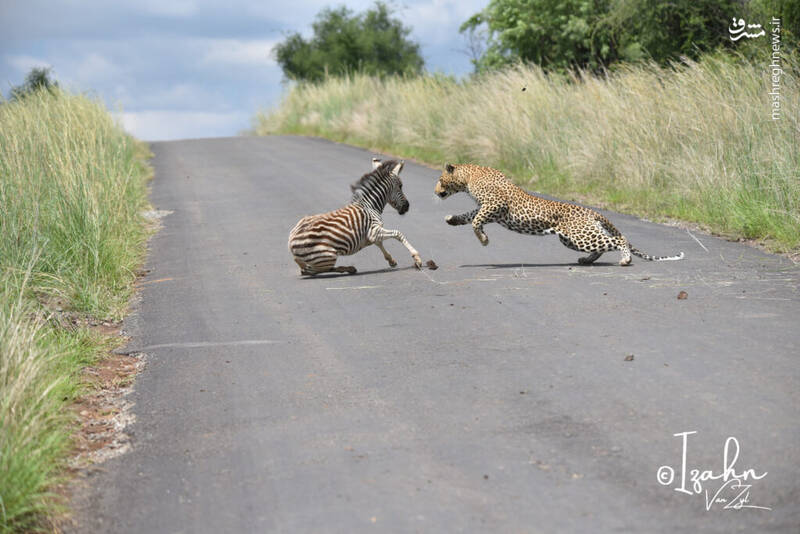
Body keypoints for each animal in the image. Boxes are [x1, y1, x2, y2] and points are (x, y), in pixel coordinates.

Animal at [290, 159, 424, 276]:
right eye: (400, 186)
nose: (407, 207)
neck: (370, 205)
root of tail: (290, 244)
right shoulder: (373, 231)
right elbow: (398, 234)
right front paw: (417, 258)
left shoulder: (373, 234)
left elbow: (379, 243)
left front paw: (391, 260)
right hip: (328, 255)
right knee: (314, 270)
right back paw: (349, 268)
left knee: (309, 270)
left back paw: (349, 269)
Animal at [434, 161, 684, 266]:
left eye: (439, 179)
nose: (435, 191)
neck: (468, 177)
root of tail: (590, 210)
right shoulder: (487, 207)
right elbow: (469, 215)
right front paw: (452, 220)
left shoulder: (494, 204)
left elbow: (475, 221)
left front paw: (484, 240)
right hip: (573, 239)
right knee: (604, 245)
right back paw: (586, 260)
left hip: (580, 235)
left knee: (619, 239)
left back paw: (625, 259)